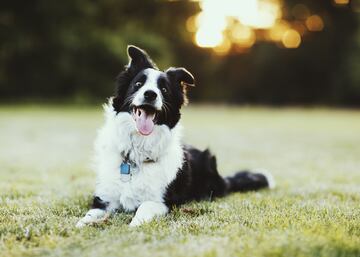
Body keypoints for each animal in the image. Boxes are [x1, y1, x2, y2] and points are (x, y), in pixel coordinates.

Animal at [75, 45, 272, 226]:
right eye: (138, 84)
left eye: (164, 89)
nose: (150, 94)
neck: (137, 153)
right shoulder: (104, 198)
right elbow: (90, 215)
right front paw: (82, 225)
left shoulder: (164, 202)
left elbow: (144, 207)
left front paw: (133, 225)